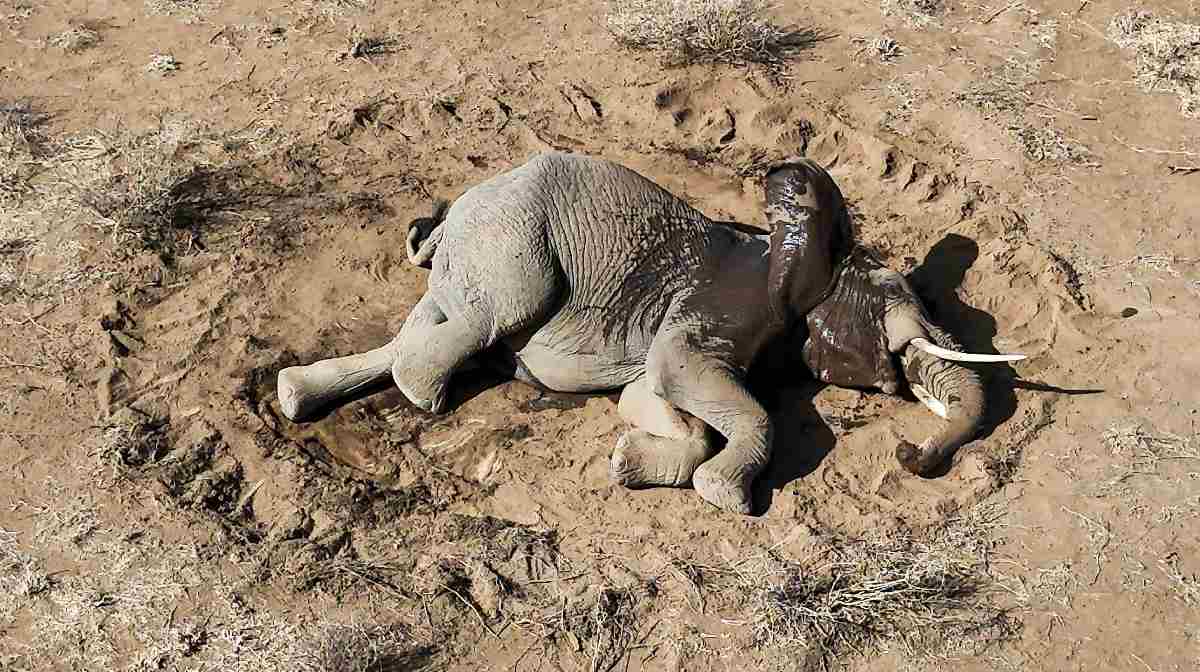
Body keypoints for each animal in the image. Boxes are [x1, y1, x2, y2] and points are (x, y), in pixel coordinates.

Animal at [276, 152, 1022, 515]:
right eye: (898, 315)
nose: (909, 454)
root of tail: (452, 211)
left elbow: (652, 397)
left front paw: (627, 461)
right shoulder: (729, 304)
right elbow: (686, 374)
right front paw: (727, 495)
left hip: (474, 253)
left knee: (427, 321)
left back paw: (296, 395)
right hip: (511, 242)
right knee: (495, 315)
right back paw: (422, 393)